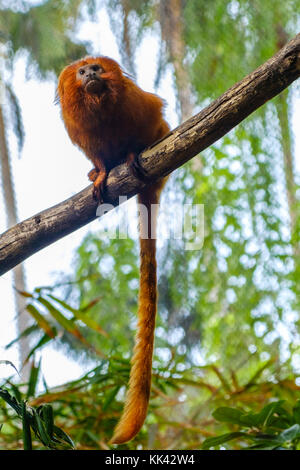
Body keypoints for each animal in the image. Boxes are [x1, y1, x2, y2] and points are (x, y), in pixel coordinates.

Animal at [56, 57, 169, 442]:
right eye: (81, 73)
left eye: (95, 68)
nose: (91, 74)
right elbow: (101, 158)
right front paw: (103, 171)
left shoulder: (145, 108)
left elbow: (153, 124)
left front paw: (133, 151)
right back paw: (95, 174)